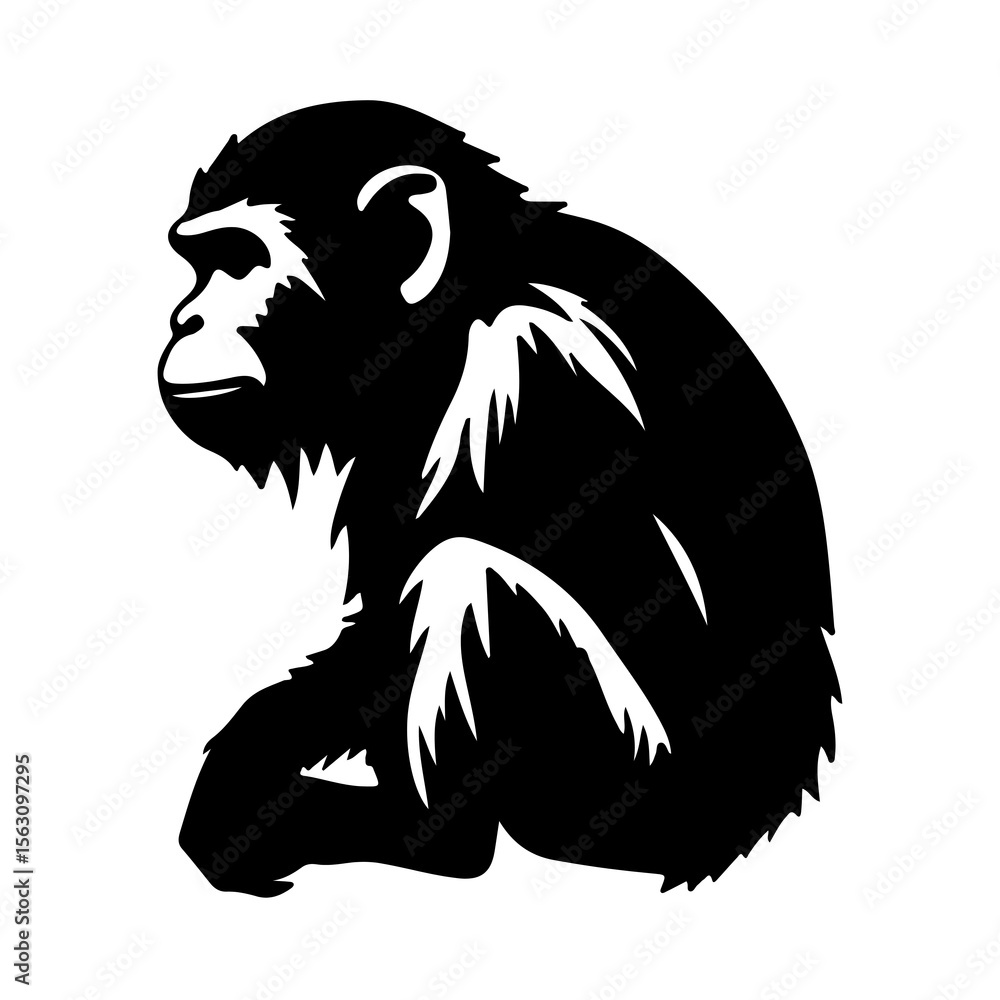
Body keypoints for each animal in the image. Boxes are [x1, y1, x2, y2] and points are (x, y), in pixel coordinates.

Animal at [158, 100, 839, 898]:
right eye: (199, 266)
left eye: (238, 261)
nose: (184, 319)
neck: (453, 318)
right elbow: (376, 626)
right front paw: (247, 765)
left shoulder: (530, 369)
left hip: (631, 789)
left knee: (470, 577)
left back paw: (426, 839)